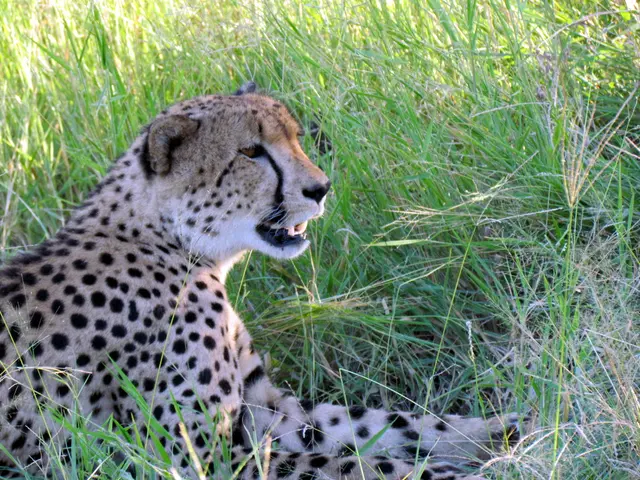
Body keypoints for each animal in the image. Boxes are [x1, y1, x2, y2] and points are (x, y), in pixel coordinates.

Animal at [0, 82, 526, 479]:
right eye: (251, 152)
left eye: (296, 138)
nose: (321, 189)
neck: (171, 241)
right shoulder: (189, 457)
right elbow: (347, 463)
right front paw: (448, 472)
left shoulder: (264, 409)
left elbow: (387, 423)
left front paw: (503, 431)